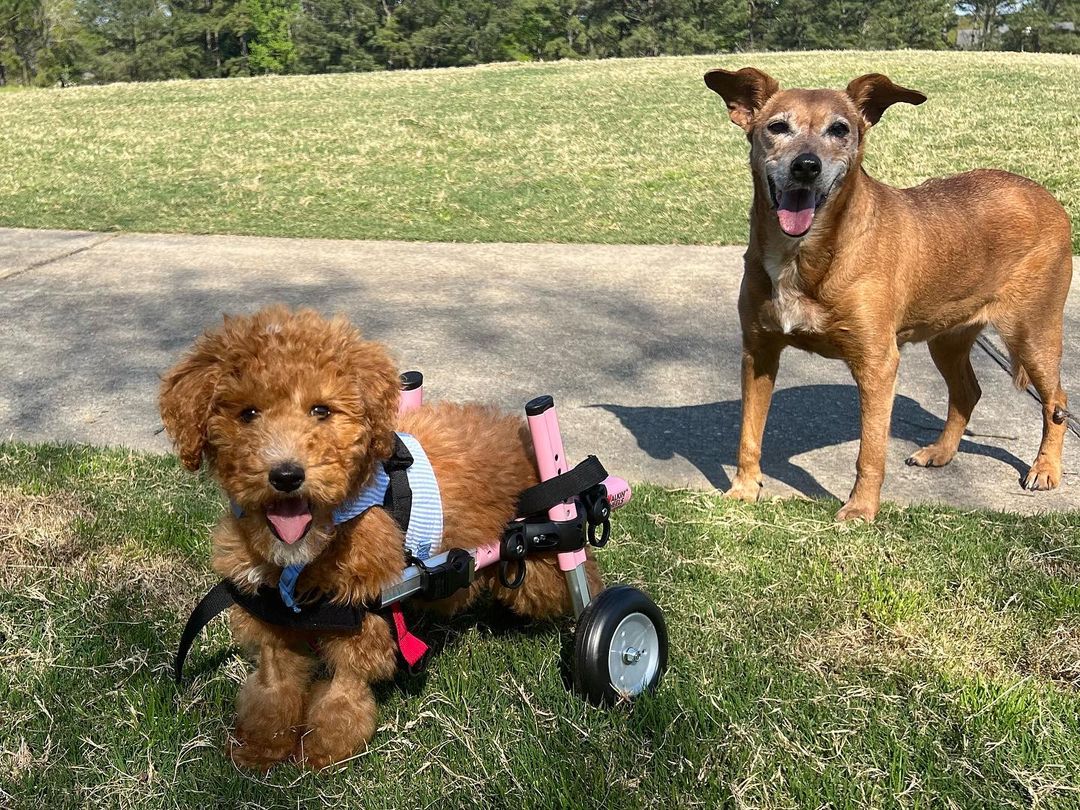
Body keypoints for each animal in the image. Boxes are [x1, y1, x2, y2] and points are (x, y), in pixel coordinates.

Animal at [159, 306, 604, 768]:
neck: (310, 550)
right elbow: (273, 688)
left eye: (321, 410)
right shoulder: (271, 621)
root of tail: (517, 431)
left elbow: (345, 686)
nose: (286, 475)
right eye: (247, 414)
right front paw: (262, 746)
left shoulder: (358, 614)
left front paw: (325, 749)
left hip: (542, 551)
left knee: (576, 576)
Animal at [704, 66, 1067, 522]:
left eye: (839, 129)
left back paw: (1045, 469)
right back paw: (940, 453)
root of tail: (1044, 194)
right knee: (968, 392)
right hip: (947, 336)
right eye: (777, 127)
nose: (806, 166)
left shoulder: (877, 364)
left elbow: (870, 451)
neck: (808, 255)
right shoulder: (759, 351)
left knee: (1056, 401)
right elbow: (749, 432)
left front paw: (860, 510)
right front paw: (744, 488)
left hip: (1033, 333)